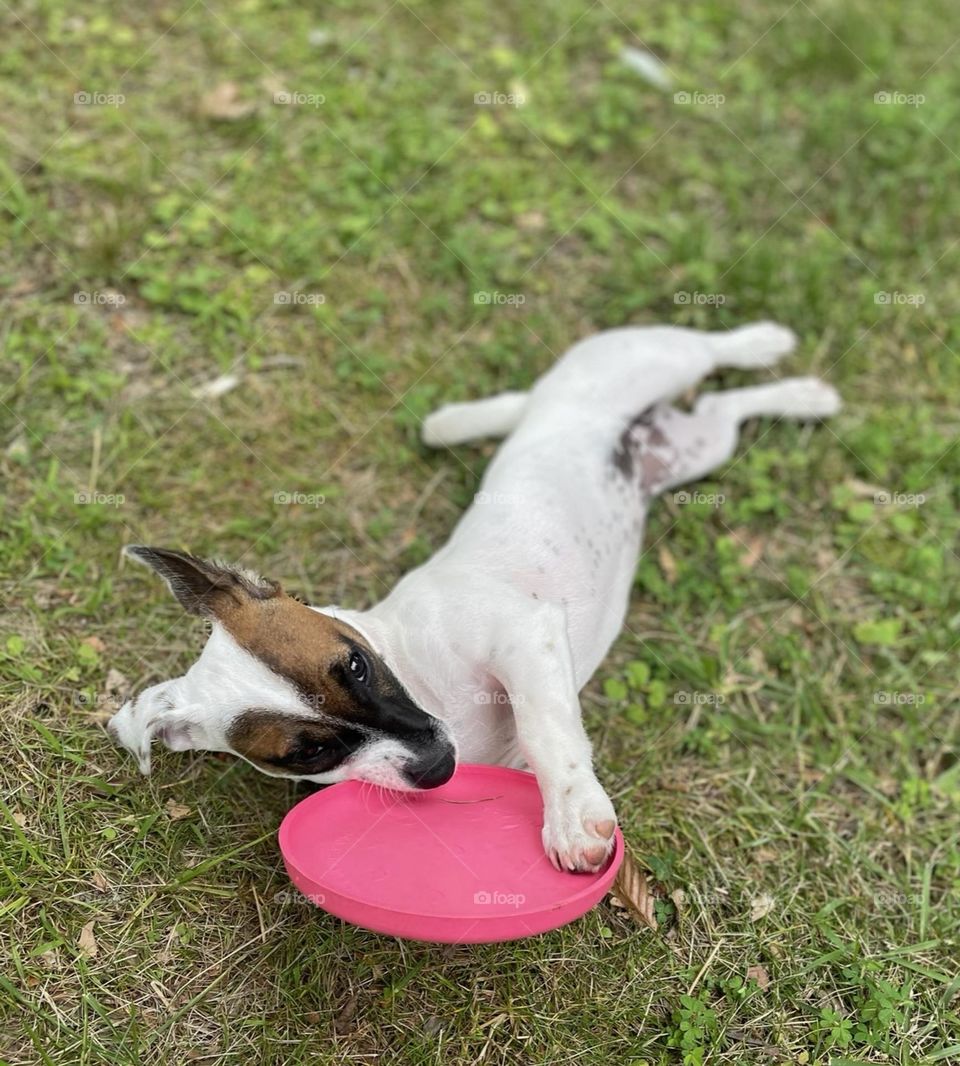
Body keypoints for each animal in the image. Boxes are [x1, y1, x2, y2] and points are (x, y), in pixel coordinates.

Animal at [108, 319, 835, 869]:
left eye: (355, 665)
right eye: (308, 753)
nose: (436, 765)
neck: (418, 670)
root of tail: (546, 400)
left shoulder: (524, 635)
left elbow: (546, 729)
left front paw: (572, 815)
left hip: (653, 358)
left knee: (711, 348)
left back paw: (768, 345)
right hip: (696, 447)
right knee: (723, 407)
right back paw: (804, 395)